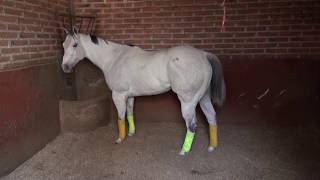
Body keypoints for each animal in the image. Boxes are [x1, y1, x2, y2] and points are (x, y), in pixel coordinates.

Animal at [62, 27, 225, 155]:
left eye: (75, 45)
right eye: (63, 45)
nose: (65, 67)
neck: (114, 58)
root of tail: (203, 55)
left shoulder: (118, 95)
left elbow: (120, 118)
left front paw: (120, 139)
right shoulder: (129, 96)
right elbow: (129, 114)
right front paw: (131, 133)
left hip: (188, 101)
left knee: (192, 125)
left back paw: (184, 151)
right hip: (203, 98)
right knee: (211, 117)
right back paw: (212, 147)